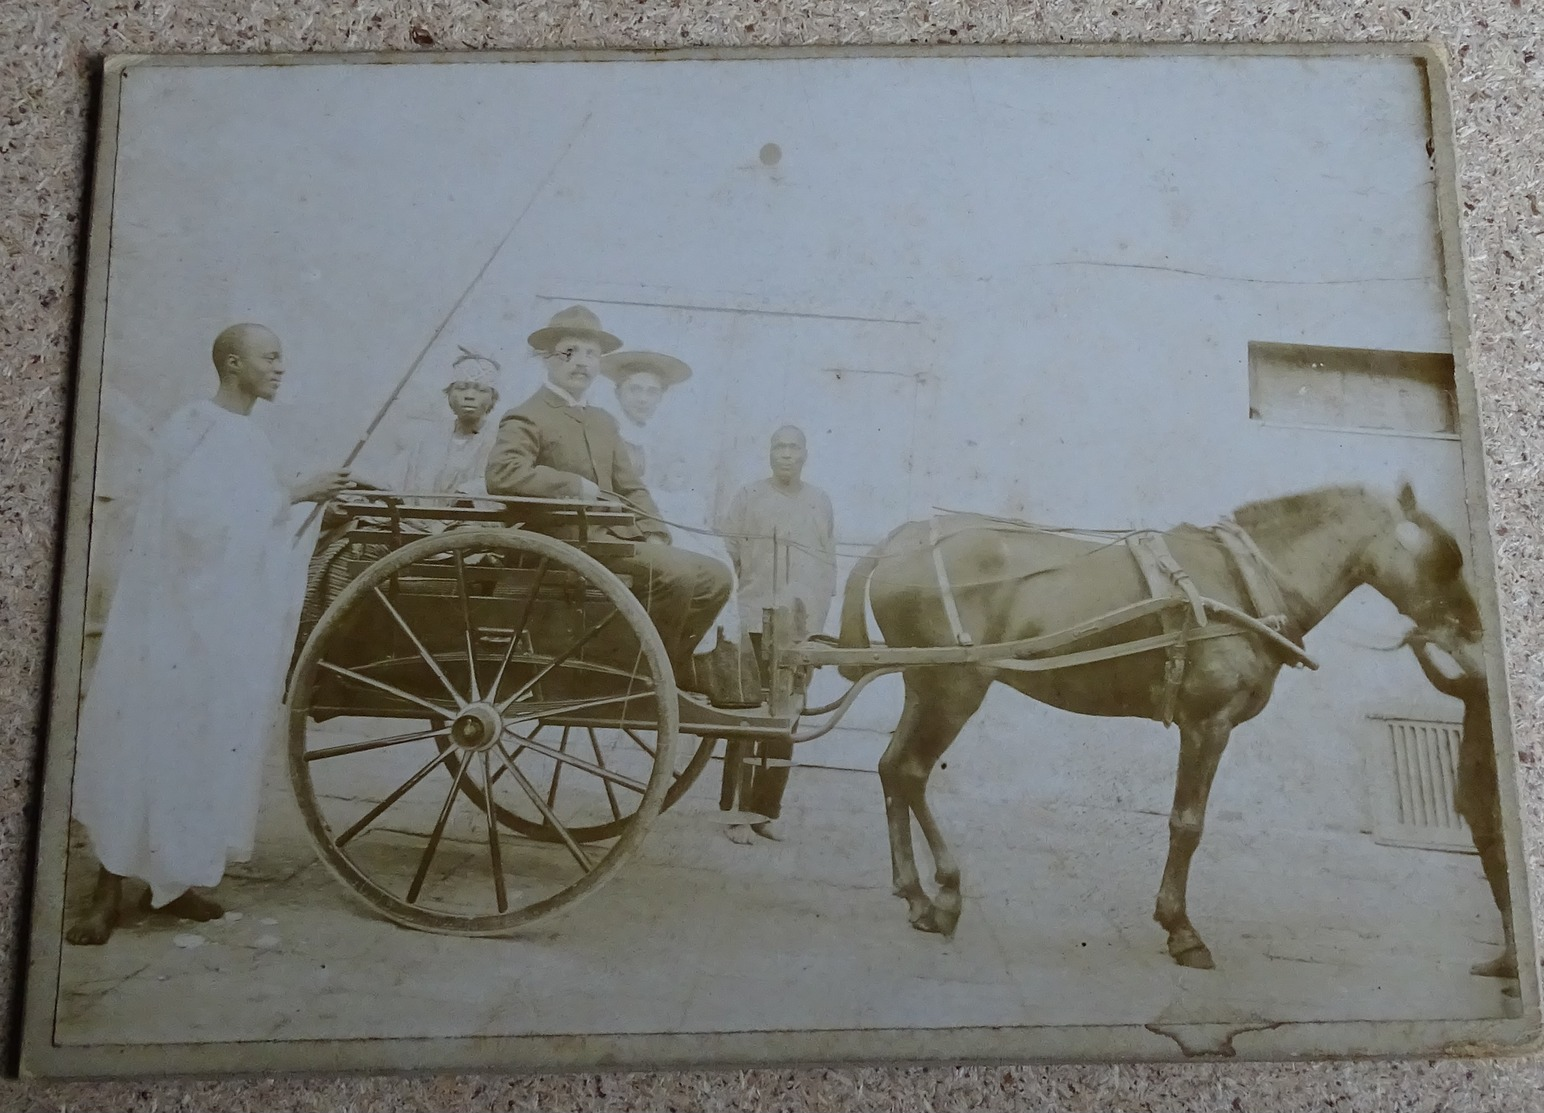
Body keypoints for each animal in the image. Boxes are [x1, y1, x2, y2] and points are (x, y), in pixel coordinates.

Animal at [839, 481, 1488, 969]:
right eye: (1444, 555)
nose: (1475, 632)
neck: (1241, 584)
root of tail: (893, 544)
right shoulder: (1208, 725)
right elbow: (1187, 824)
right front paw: (1181, 929)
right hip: (952, 689)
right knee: (911, 770)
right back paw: (944, 892)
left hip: (924, 686)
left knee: (894, 770)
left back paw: (916, 894)